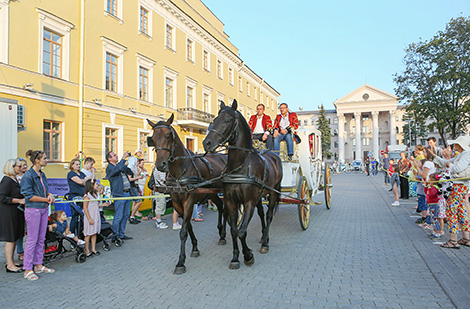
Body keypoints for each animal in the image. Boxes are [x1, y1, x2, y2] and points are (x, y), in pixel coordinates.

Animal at [147, 114, 228, 274]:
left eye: (168, 135)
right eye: (152, 138)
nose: (160, 165)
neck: (180, 170)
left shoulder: (189, 200)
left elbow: (183, 231)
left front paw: (180, 262)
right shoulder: (177, 203)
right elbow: (188, 226)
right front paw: (195, 247)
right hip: (211, 193)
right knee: (221, 206)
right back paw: (221, 234)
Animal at [203, 100, 282, 268]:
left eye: (227, 120)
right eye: (215, 120)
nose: (206, 143)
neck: (239, 167)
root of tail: (274, 155)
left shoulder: (248, 202)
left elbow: (241, 231)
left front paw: (248, 255)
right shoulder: (231, 202)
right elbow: (234, 230)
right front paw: (235, 257)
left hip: (272, 193)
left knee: (269, 215)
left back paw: (265, 242)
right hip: (260, 196)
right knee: (262, 214)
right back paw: (263, 236)